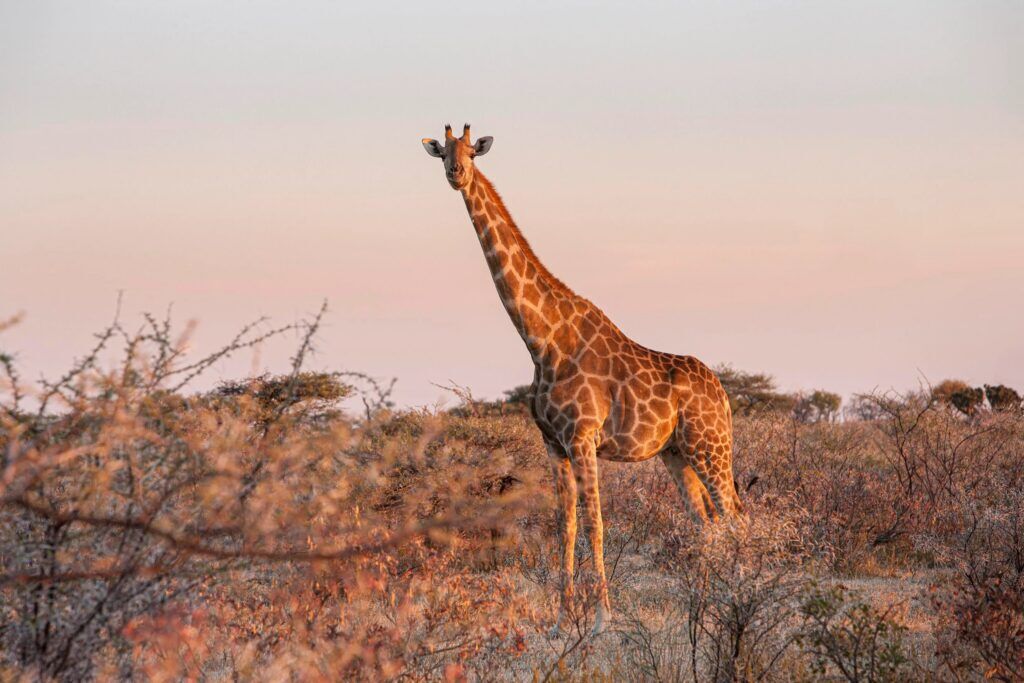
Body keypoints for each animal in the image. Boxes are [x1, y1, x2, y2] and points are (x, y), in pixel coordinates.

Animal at [422, 124, 743, 635]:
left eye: (471, 151)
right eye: (443, 152)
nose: (456, 173)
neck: (542, 338)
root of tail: (724, 395)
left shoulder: (583, 437)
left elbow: (595, 522)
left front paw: (601, 619)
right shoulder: (553, 442)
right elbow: (564, 524)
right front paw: (560, 618)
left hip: (711, 446)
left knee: (734, 517)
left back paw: (740, 598)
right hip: (676, 453)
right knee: (706, 521)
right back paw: (708, 608)